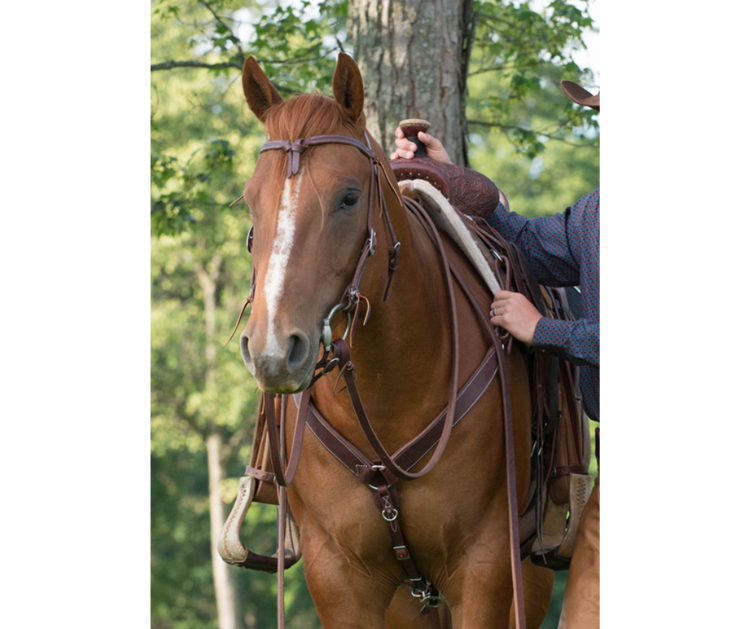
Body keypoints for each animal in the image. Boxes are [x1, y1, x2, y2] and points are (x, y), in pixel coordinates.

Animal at [238, 55, 556, 628]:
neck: (392, 396)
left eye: (349, 197)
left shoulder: (486, 567)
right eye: (251, 201)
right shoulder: (338, 576)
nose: (272, 348)